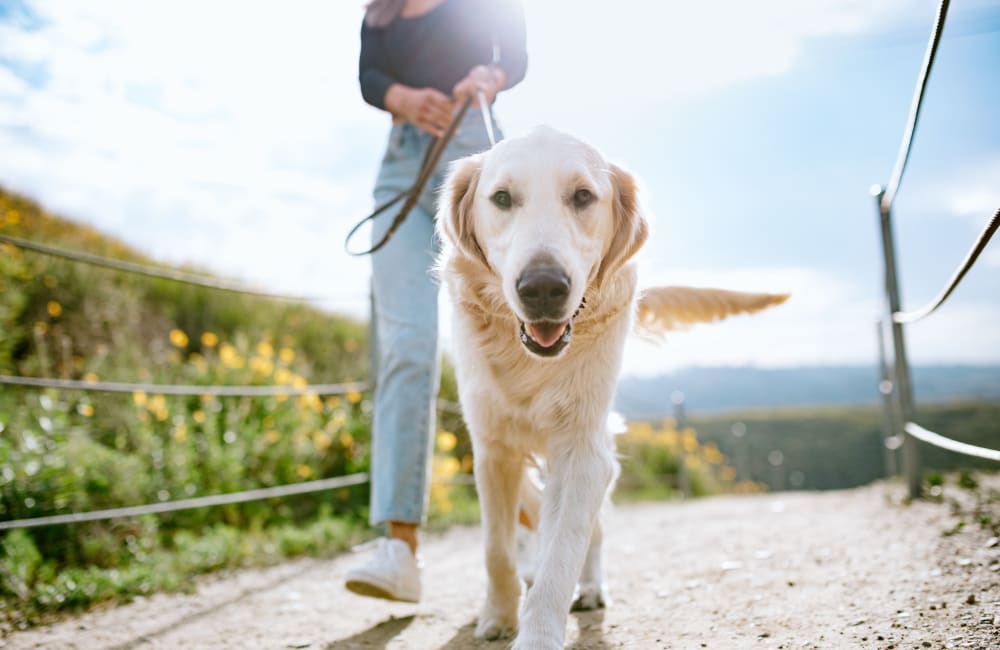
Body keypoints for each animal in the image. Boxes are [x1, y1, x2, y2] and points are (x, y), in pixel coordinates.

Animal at [438, 124, 788, 644]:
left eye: (583, 196)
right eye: (501, 198)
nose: (543, 288)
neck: (529, 361)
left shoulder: (583, 450)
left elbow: (562, 553)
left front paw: (538, 634)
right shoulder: (492, 449)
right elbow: (495, 550)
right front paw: (498, 616)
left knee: (592, 530)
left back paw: (590, 587)